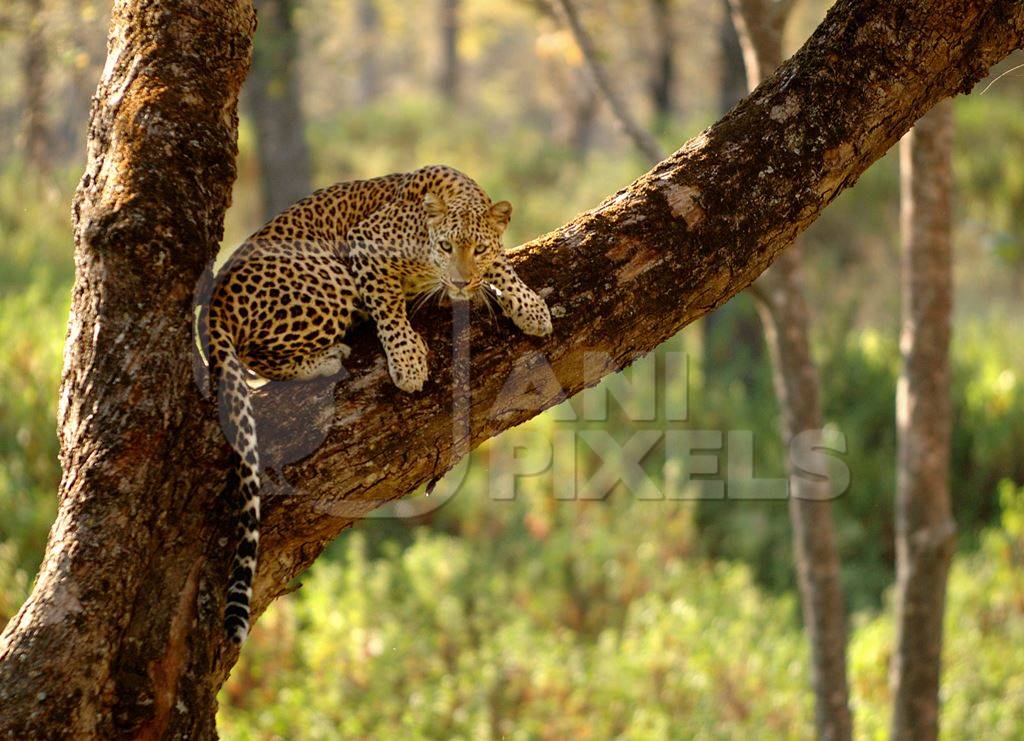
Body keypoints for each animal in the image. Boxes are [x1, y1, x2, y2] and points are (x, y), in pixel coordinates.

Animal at [200, 164, 552, 646]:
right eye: (446, 246)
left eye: (475, 248)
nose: (460, 282)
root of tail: (214, 303)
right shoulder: (366, 245)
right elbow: (388, 304)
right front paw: (407, 360)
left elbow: (503, 263)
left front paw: (529, 306)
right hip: (327, 275)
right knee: (257, 355)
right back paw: (327, 359)